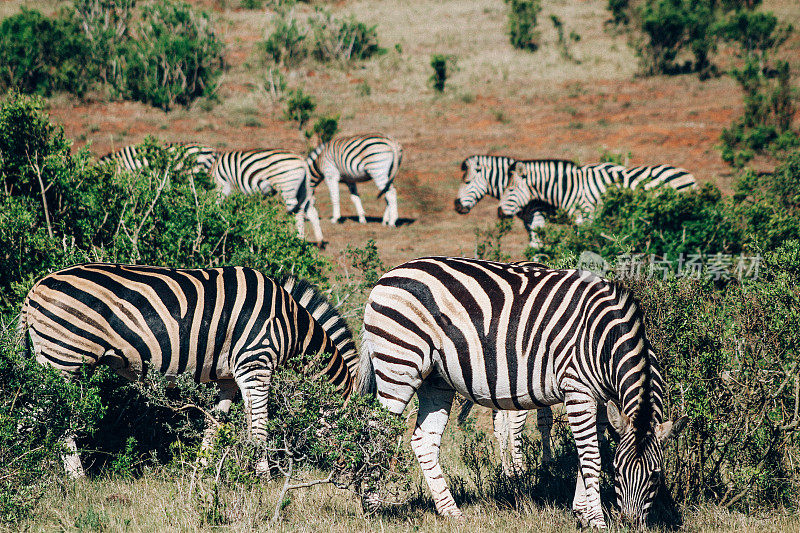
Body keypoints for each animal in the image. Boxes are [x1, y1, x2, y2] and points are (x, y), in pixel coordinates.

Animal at [18, 262, 356, 474]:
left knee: (31, 412)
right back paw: (76, 477)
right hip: (65, 358)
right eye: (352, 427)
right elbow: (259, 426)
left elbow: (216, 423)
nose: (348, 468)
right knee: (56, 416)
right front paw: (264, 478)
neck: (292, 326)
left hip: (53, 359)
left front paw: (201, 472)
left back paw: (22, 463)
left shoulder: (228, 377)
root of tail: (34, 289)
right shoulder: (255, 363)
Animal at [360, 258, 684, 528]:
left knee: (423, 441)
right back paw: (371, 505)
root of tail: (387, 276)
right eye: (617, 472)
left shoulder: (603, 399)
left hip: (435, 380)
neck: (602, 340)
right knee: (376, 432)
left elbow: (594, 450)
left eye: (656, 474)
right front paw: (596, 521)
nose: (631, 525)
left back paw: (451, 511)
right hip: (398, 365)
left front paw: (581, 511)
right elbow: (591, 456)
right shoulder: (577, 389)